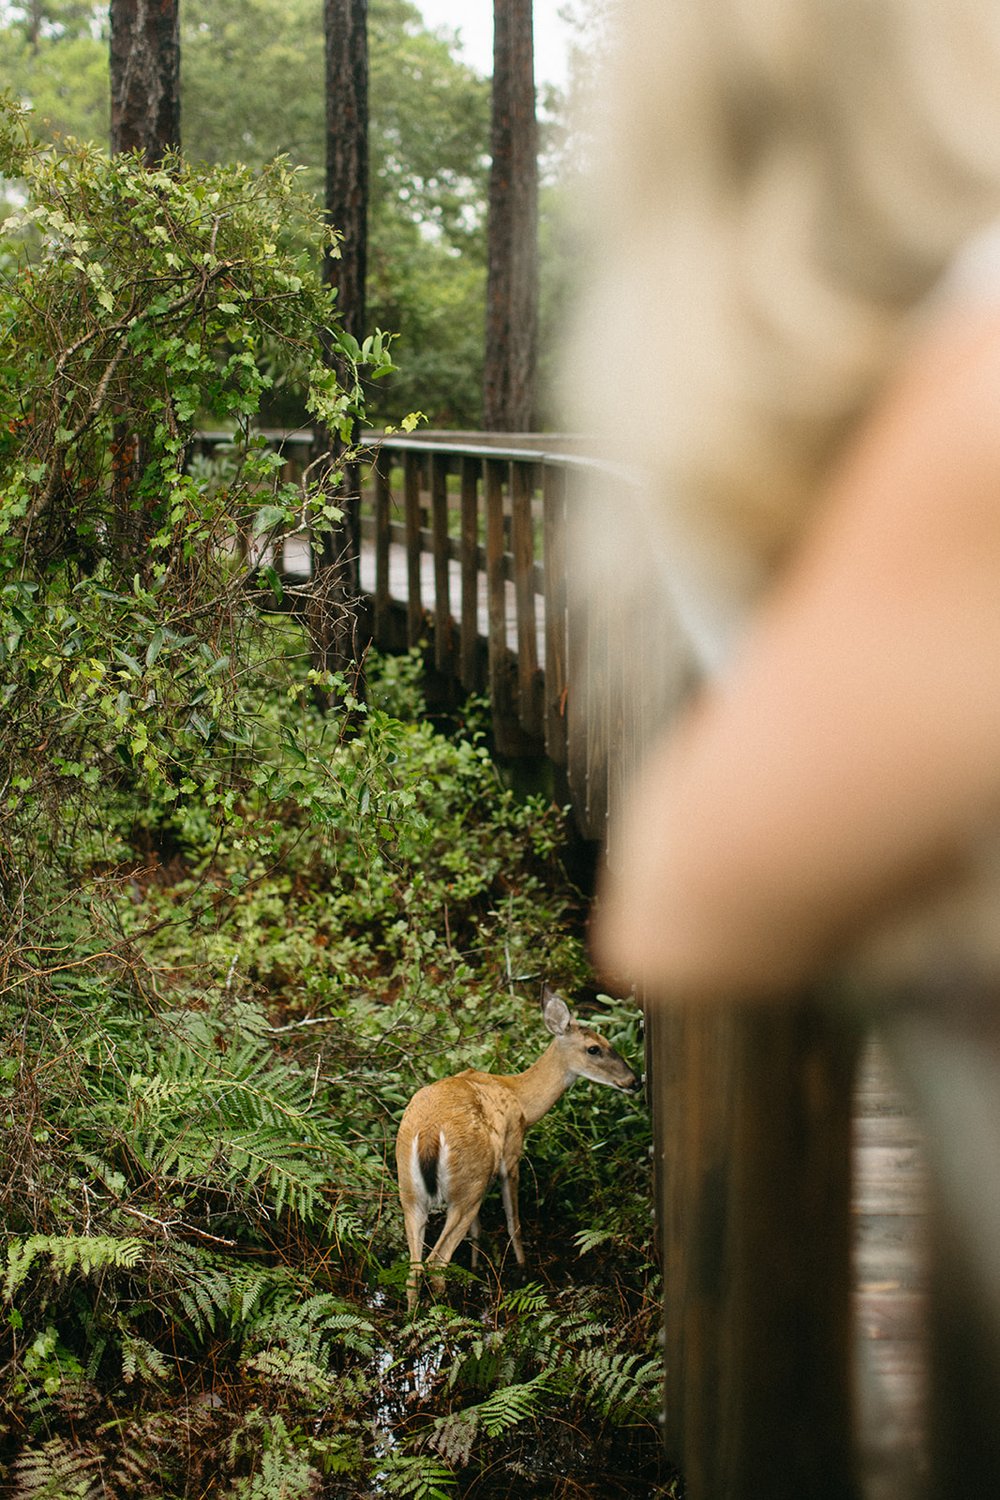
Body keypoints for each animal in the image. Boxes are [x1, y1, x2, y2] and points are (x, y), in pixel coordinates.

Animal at [392, 978, 638, 1308]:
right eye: (594, 1048)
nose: (635, 1081)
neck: (521, 1098)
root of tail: (430, 1133)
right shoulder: (510, 1156)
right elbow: (514, 1223)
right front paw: (523, 1270)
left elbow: (478, 1230)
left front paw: (476, 1267)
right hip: (467, 1188)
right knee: (437, 1261)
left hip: (411, 1193)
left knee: (413, 1269)